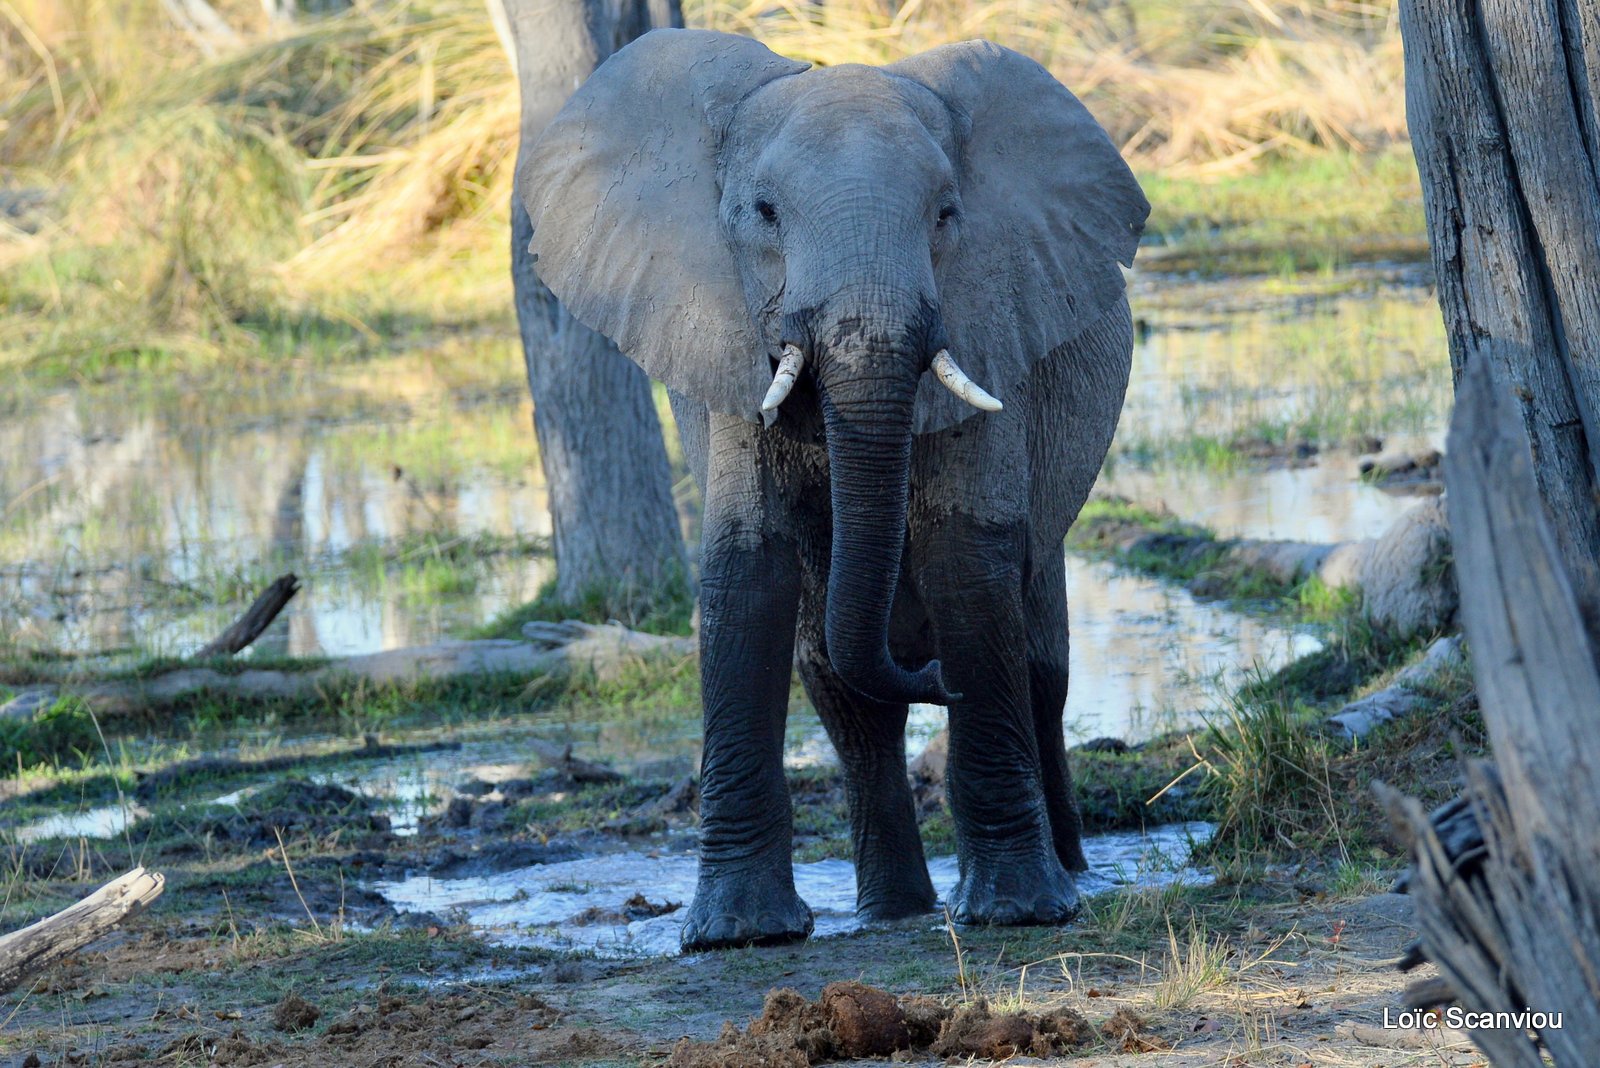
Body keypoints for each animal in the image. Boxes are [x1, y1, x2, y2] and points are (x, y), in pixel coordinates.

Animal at [524, 27, 1152, 952]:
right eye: (764, 213)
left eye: (946, 215)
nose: (935, 674)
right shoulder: (727, 341)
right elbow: (746, 566)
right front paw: (738, 935)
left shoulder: (992, 317)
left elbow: (968, 563)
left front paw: (1019, 914)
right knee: (843, 692)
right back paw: (895, 911)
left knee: (1040, 666)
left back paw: (1069, 875)